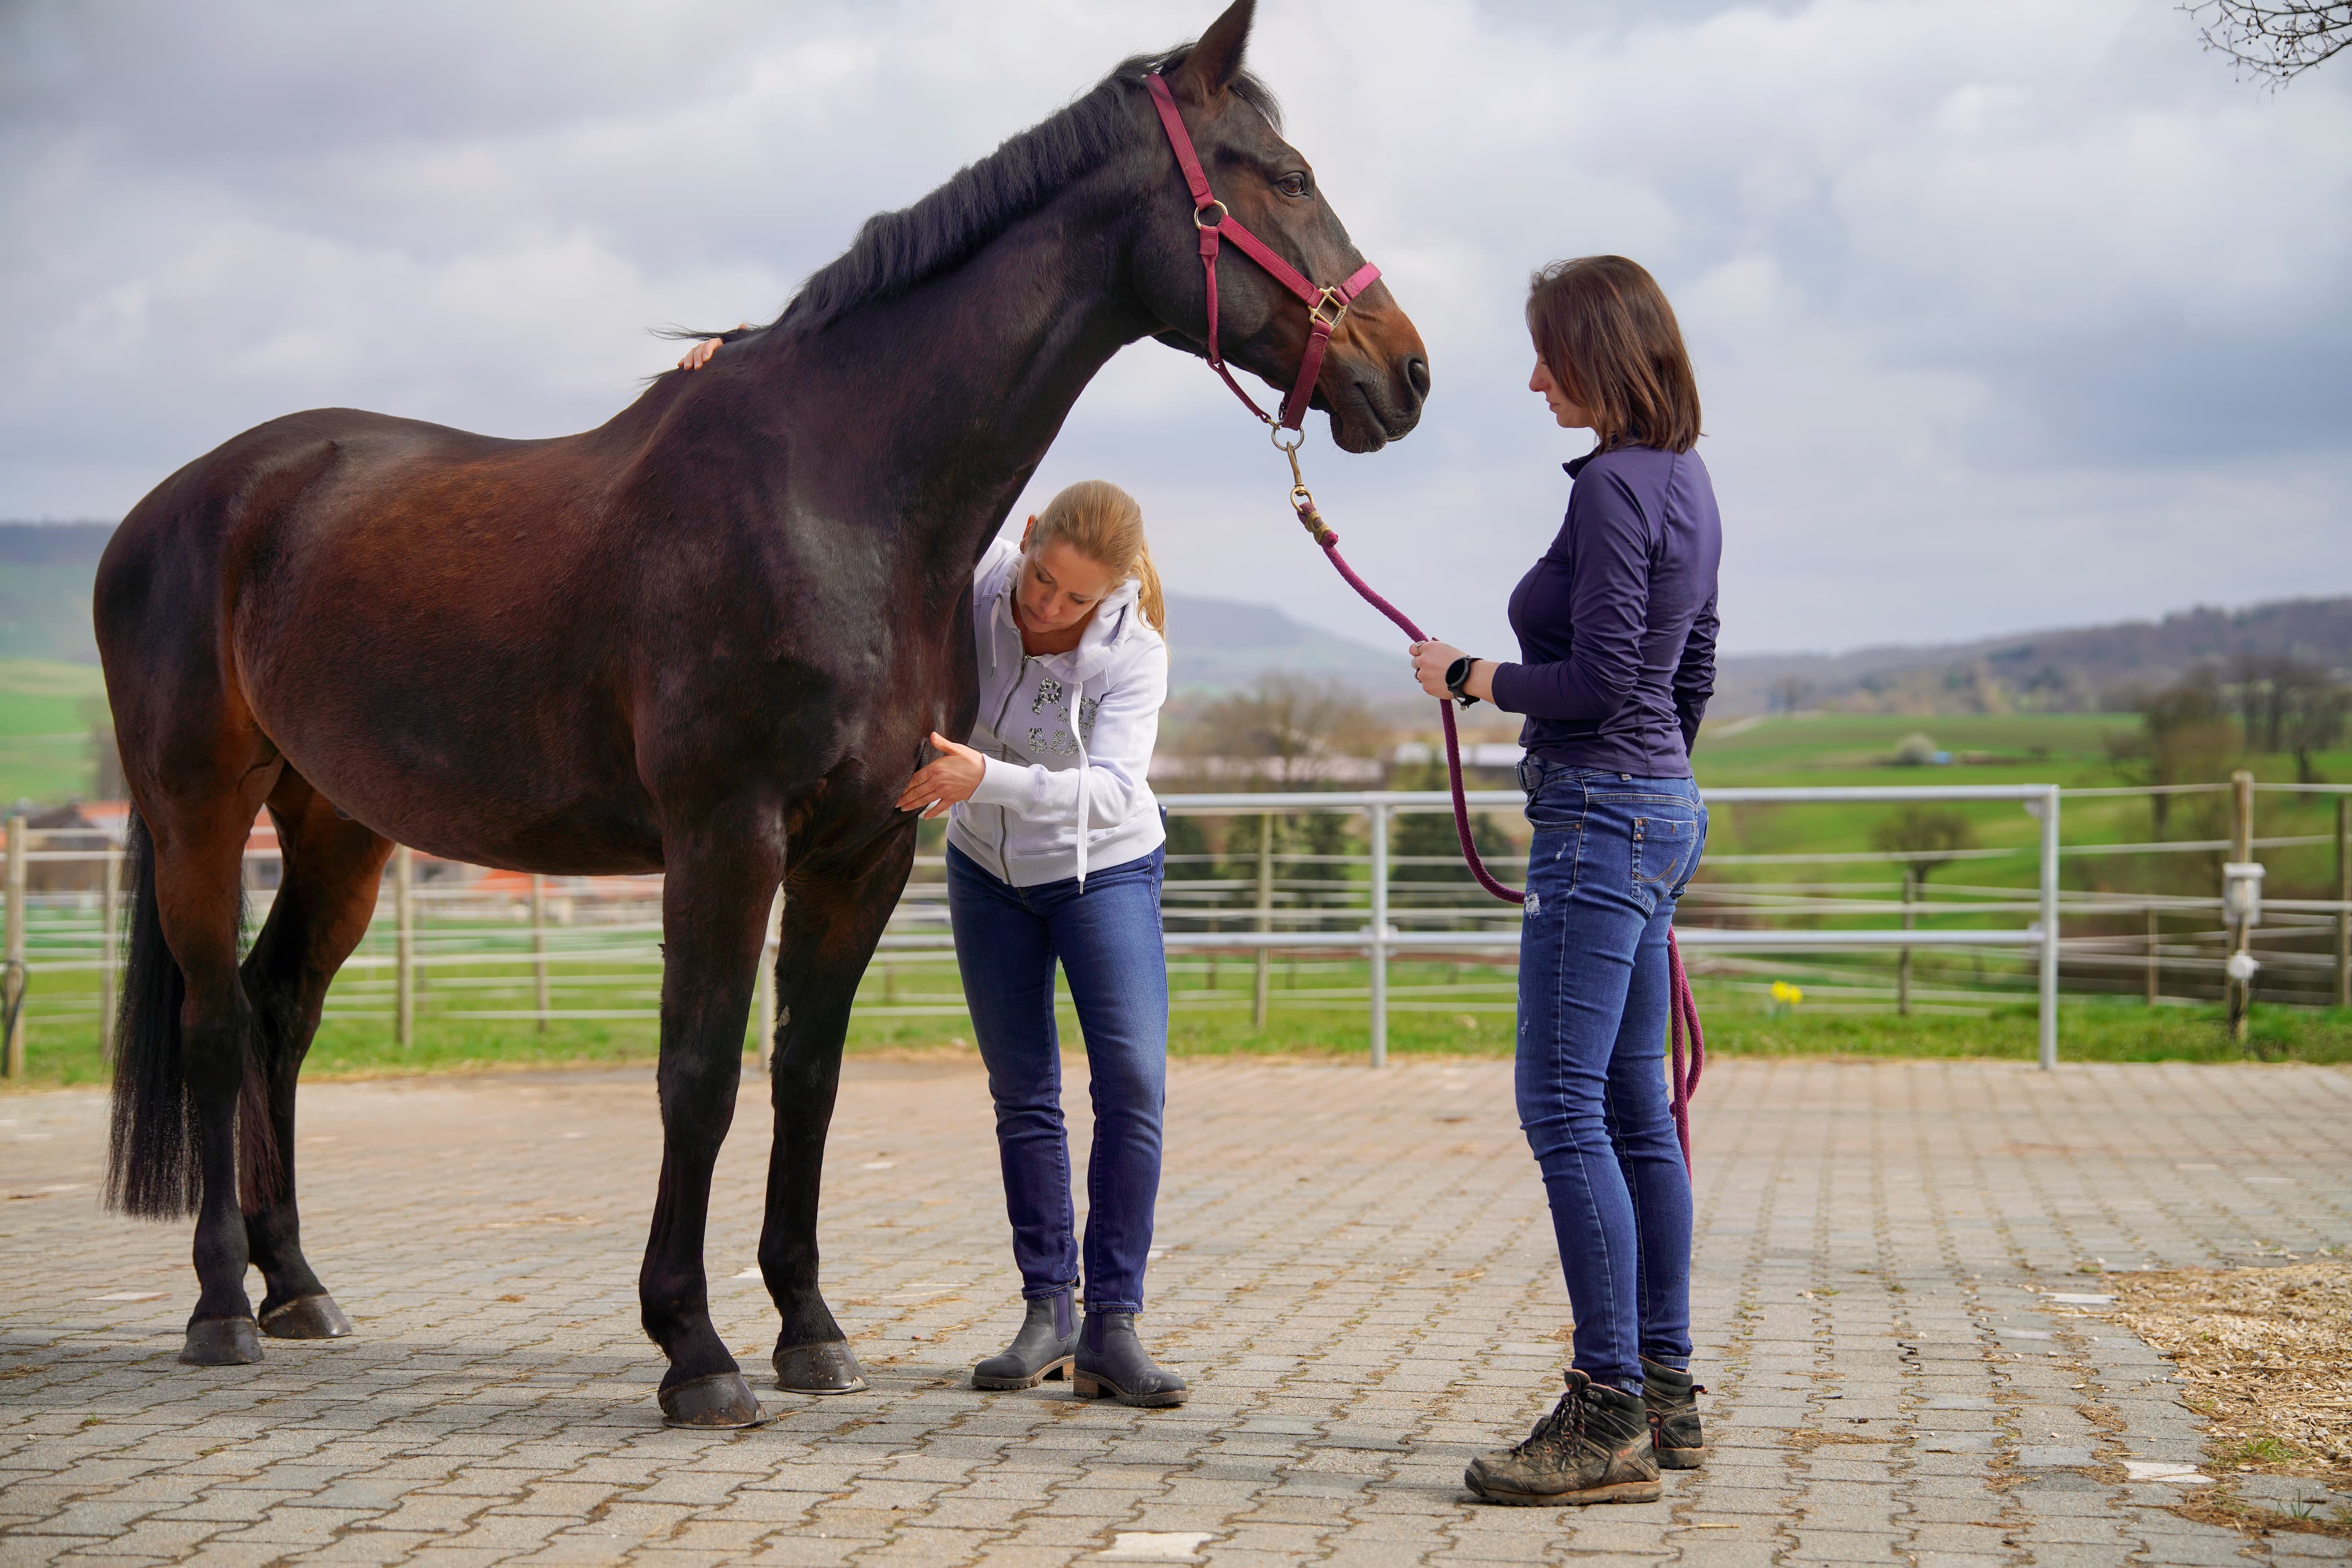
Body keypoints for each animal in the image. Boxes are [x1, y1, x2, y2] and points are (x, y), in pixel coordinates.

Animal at [94, 0, 1427, 1427]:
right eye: (1282, 176)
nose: (1407, 372)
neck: (837, 494)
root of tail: (182, 501)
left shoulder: (865, 848)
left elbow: (808, 1075)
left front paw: (809, 1327)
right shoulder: (725, 836)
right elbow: (700, 1074)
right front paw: (696, 1348)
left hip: (339, 824)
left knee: (278, 1010)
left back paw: (298, 1287)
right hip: (199, 808)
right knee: (215, 1022)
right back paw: (222, 1306)